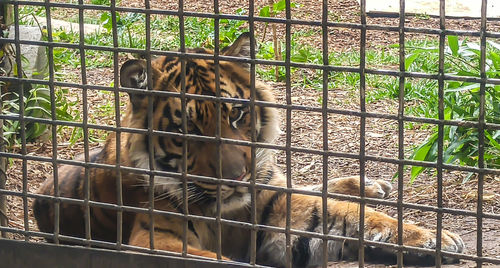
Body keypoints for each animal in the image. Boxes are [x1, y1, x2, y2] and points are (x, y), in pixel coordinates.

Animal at [34, 33, 464, 266]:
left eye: (237, 113)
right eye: (187, 129)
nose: (238, 178)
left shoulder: (277, 208)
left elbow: (348, 215)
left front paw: (434, 238)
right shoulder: (155, 238)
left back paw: (373, 185)